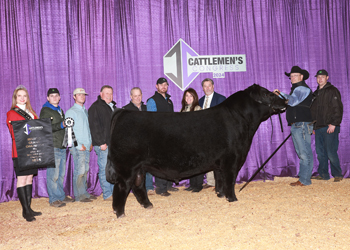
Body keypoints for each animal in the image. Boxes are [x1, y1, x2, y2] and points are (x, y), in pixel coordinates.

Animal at [105, 84, 286, 217]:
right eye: (268, 94)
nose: (284, 101)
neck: (241, 120)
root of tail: (123, 112)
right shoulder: (231, 160)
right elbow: (230, 180)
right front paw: (232, 199)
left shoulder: (220, 162)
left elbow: (220, 179)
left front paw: (220, 195)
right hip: (127, 166)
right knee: (121, 187)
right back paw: (120, 213)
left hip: (139, 168)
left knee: (137, 185)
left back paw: (148, 205)